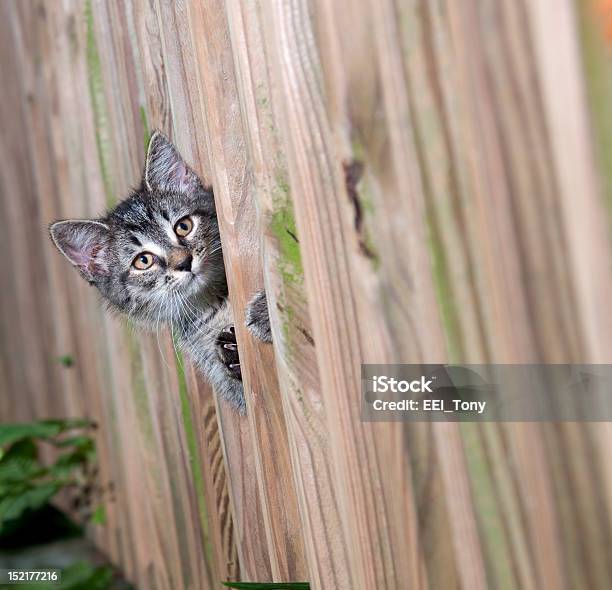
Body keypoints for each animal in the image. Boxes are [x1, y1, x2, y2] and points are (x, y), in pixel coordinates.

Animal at [51, 132, 272, 414]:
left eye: (183, 226)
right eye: (143, 261)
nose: (184, 262)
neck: (215, 302)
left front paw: (265, 310)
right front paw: (231, 353)